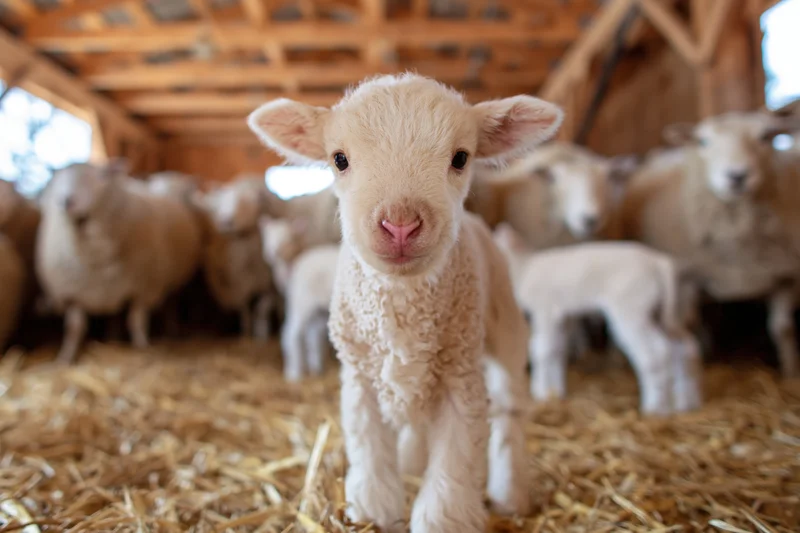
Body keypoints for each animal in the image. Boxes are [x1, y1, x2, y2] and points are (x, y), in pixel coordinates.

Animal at [199, 178, 276, 340]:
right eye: (222, 201)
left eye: (246, 203)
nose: (225, 221)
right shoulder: (238, 284)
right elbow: (244, 308)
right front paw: (245, 331)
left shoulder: (269, 286)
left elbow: (263, 307)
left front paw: (261, 331)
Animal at [259, 216, 339, 381]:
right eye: (268, 236)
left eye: (289, 238)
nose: (274, 252)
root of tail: (301, 263)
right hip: (303, 302)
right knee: (292, 333)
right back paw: (294, 374)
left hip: (316, 308)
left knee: (312, 336)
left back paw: (315, 369)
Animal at [492, 223, 702, 414]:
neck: (523, 268)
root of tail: (658, 262)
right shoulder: (564, 317)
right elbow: (558, 350)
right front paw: (555, 392)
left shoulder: (545, 310)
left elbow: (542, 350)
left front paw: (540, 391)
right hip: (666, 313)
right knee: (685, 347)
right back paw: (686, 403)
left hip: (632, 309)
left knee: (656, 352)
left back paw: (655, 407)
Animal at [622, 111, 800, 378]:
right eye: (703, 141)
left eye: (765, 137)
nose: (737, 176)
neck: (737, 239)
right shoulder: (687, 277)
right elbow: (691, 323)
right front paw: (701, 363)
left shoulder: (786, 276)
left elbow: (782, 328)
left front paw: (790, 373)